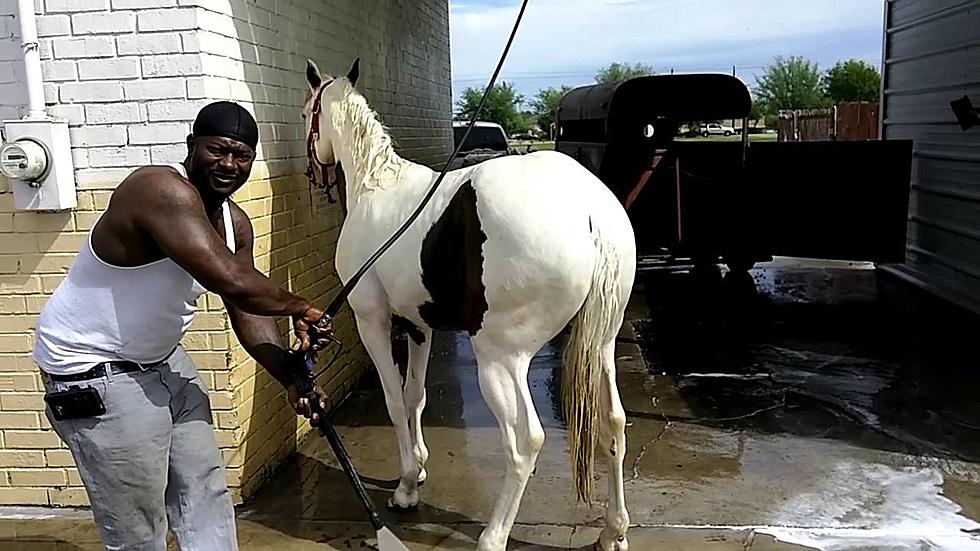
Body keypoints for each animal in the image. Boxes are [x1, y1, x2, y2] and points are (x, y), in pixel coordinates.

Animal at [302, 59, 640, 551]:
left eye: (306, 111)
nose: (313, 172)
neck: (376, 189)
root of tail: (592, 210)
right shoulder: (419, 326)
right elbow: (415, 396)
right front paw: (418, 471)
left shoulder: (373, 321)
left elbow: (394, 400)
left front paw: (406, 487)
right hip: (602, 347)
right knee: (613, 424)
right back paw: (613, 531)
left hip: (500, 359)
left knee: (525, 441)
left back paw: (493, 535)